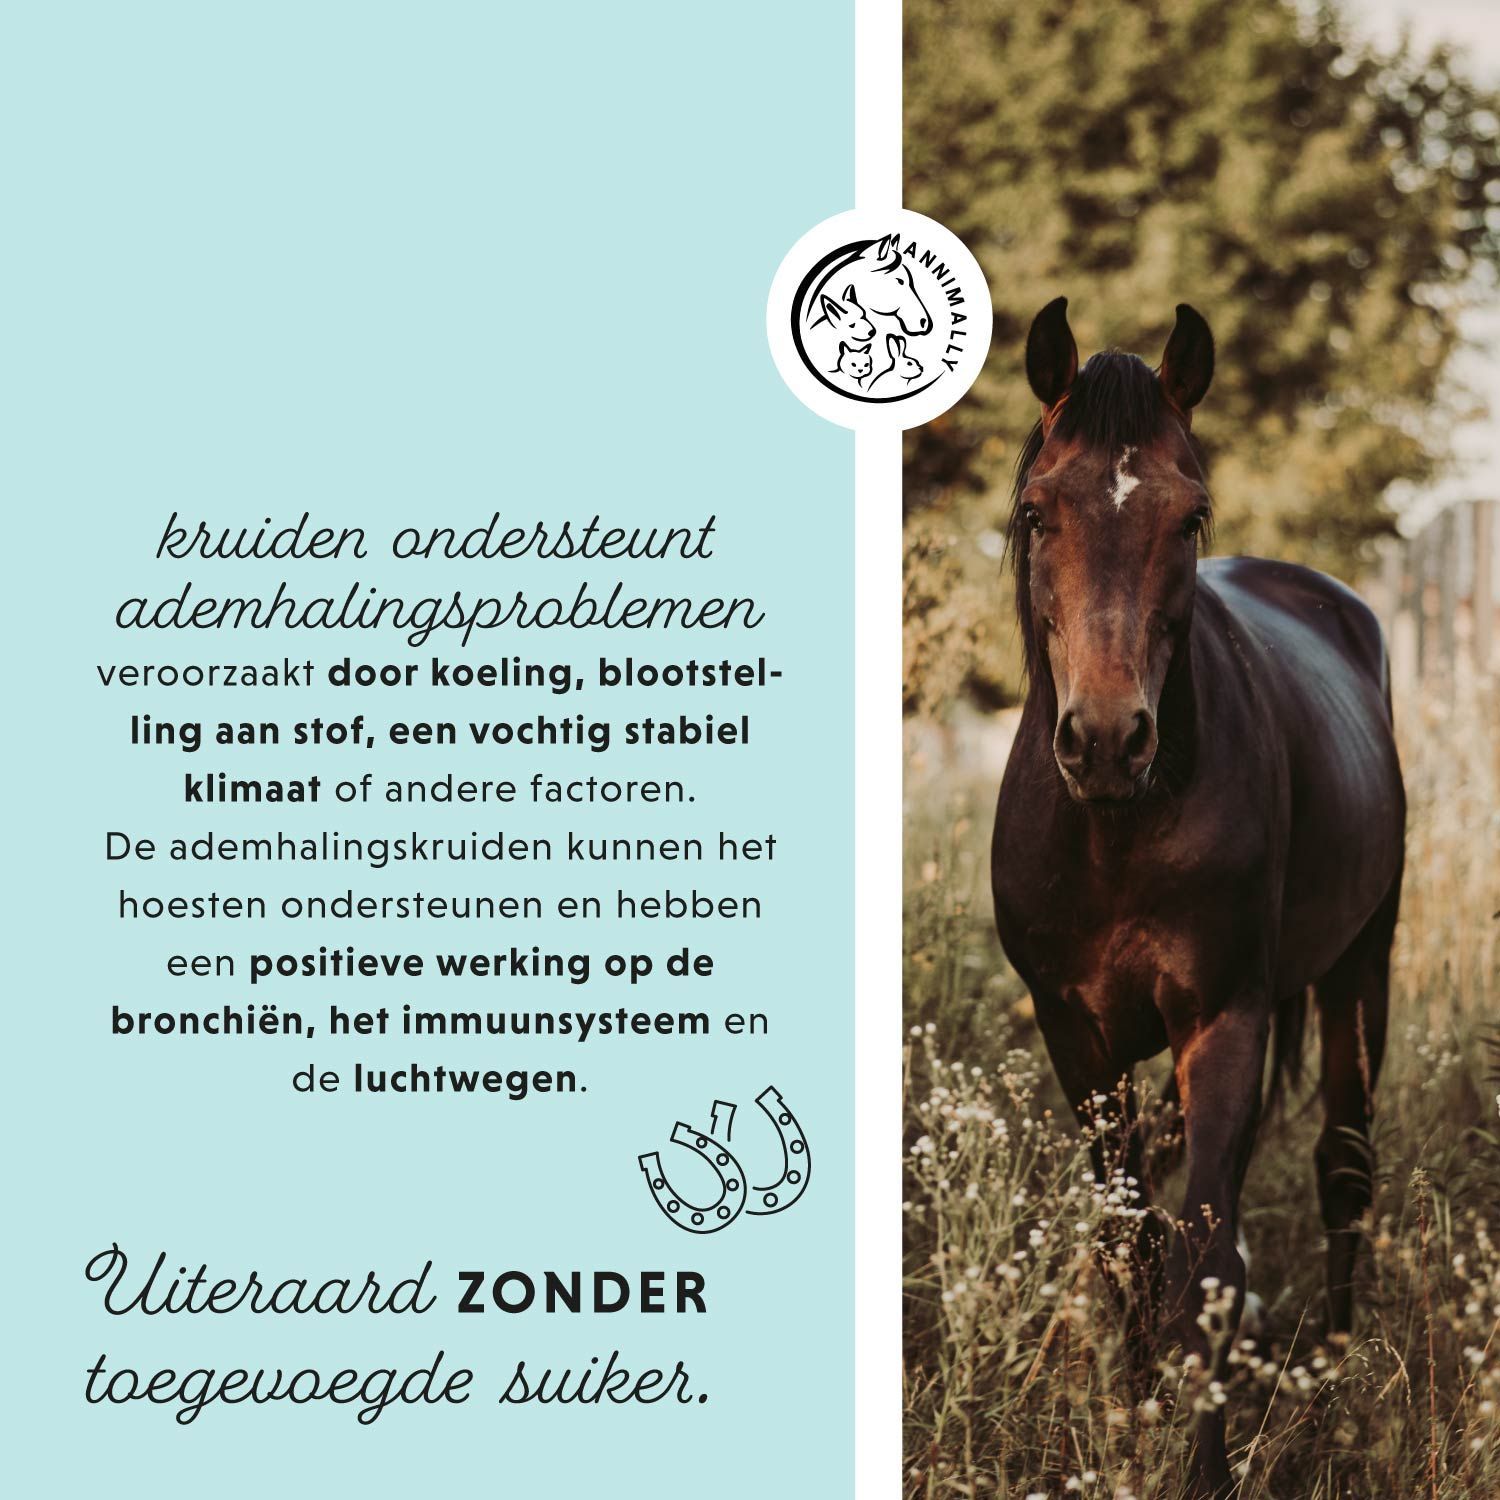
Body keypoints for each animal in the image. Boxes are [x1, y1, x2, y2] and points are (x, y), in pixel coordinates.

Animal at [989, 298, 1406, 1497]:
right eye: (1037, 511)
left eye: (1191, 516)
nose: (1106, 740)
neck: (1117, 828)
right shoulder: (1074, 1037)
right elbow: (1128, 1243)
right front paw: (1133, 1421)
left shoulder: (1224, 1021)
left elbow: (1207, 1260)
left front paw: (1206, 1465)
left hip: (1361, 969)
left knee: (1343, 1172)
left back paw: (1334, 1385)